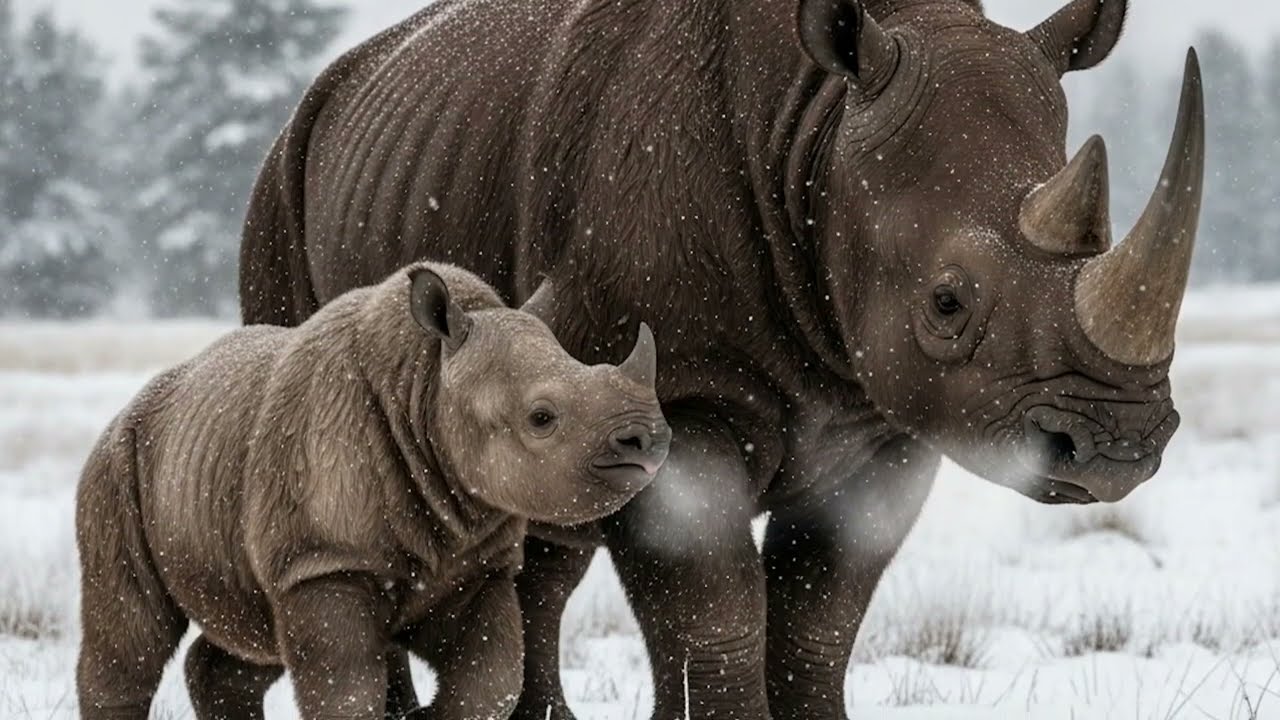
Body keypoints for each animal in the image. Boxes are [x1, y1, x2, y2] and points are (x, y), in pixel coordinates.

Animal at [76, 263, 670, 720]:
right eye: (541, 417)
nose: (649, 438)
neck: (427, 386)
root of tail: (135, 405)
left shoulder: (477, 563)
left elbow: (493, 679)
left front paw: (423, 717)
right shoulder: (325, 561)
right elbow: (346, 691)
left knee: (251, 632)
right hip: (116, 464)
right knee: (131, 635)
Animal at [239, 0, 1206, 716]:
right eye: (947, 304)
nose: (1117, 448)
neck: (816, 125)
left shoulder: (885, 420)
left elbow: (822, 615)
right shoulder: (673, 396)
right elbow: (713, 605)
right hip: (277, 188)